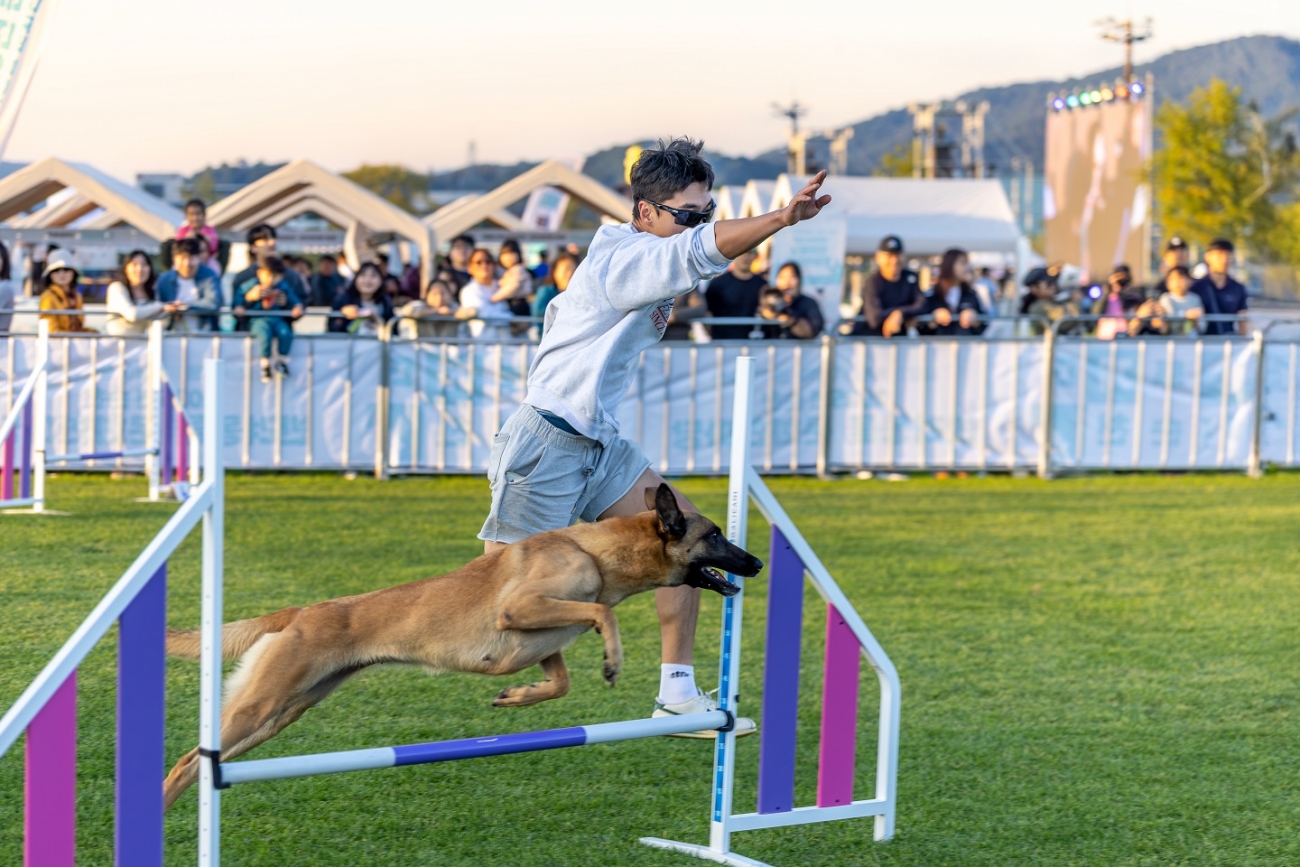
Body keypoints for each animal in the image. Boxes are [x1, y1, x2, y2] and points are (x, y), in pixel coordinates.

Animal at [161, 484, 762, 810]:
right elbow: (603, 613)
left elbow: (560, 680)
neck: (594, 553)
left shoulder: (540, 641)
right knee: (186, 762)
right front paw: (612, 661)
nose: (756, 562)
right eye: (715, 536)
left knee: (197, 763)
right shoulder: (519, 608)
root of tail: (302, 611)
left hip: (279, 714)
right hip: (260, 707)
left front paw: (518, 697)